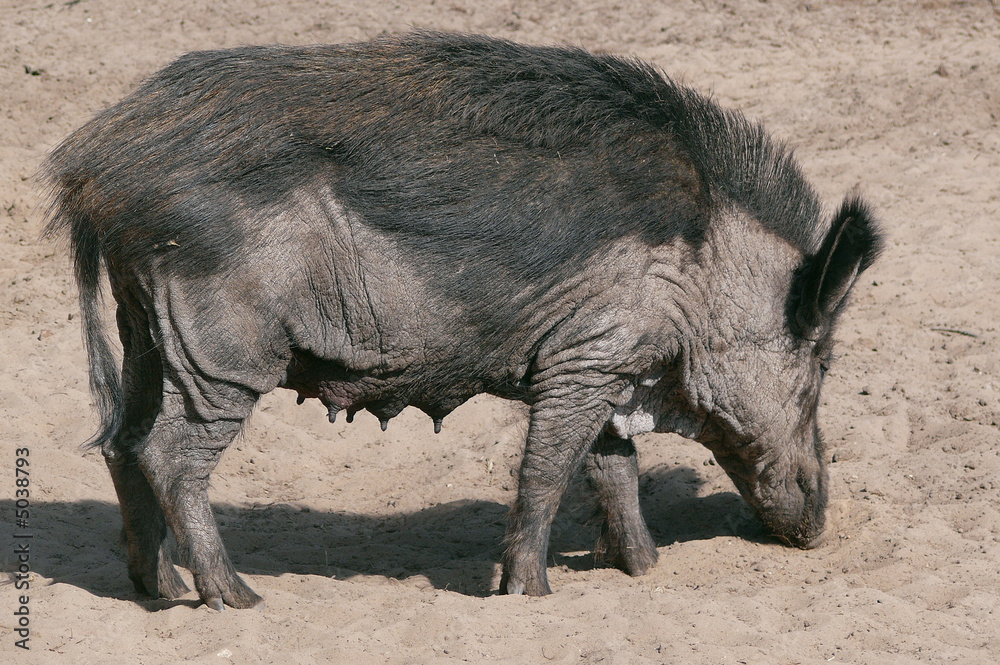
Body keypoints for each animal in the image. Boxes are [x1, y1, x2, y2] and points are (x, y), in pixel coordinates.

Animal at [44, 31, 882, 609]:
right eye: (819, 364)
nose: (820, 522)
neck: (703, 268)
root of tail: (91, 169)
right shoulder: (586, 356)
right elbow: (546, 471)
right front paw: (530, 593)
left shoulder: (604, 364)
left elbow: (614, 468)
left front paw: (644, 570)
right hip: (224, 350)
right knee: (167, 454)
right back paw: (238, 598)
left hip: (144, 327)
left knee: (120, 443)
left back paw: (157, 591)